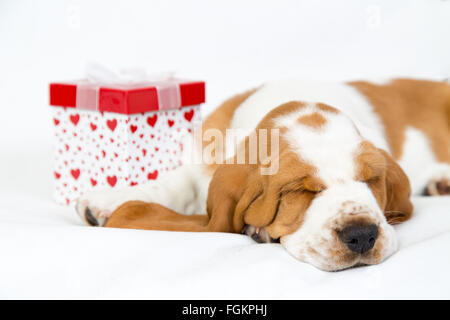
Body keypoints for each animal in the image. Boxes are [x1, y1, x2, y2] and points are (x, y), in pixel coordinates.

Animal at [75, 79, 448, 272]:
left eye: (369, 180)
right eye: (302, 190)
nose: (362, 235)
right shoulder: (201, 160)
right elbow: (174, 185)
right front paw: (107, 201)